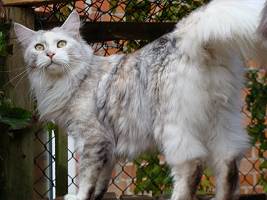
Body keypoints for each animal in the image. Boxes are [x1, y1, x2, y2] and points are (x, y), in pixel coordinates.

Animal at [13, 0, 267, 200]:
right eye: (38, 47)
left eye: (61, 44)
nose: (50, 55)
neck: (70, 80)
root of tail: (185, 39)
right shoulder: (107, 145)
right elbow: (101, 180)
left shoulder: (91, 137)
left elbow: (86, 177)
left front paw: (78, 197)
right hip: (222, 119)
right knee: (228, 165)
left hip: (173, 126)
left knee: (191, 167)